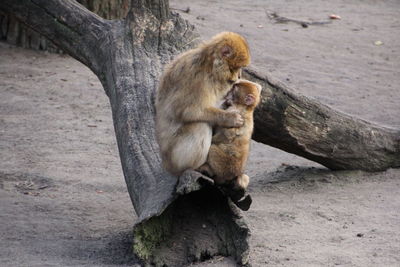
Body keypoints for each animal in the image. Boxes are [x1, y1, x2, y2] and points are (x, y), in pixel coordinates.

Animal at [155, 32, 250, 177]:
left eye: (240, 68)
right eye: (234, 68)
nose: (238, 77)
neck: (210, 66)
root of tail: (166, 164)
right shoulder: (196, 78)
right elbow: (185, 110)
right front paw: (230, 118)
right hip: (175, 158)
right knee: (199, 125)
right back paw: (195, 167)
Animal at [198, 79, 260, 207]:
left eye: (234, 90)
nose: (227, 96)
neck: (246, 108)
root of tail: (233, 176)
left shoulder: (234, 111)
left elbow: (226, 134)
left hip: (224, 166)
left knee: (212, 149)